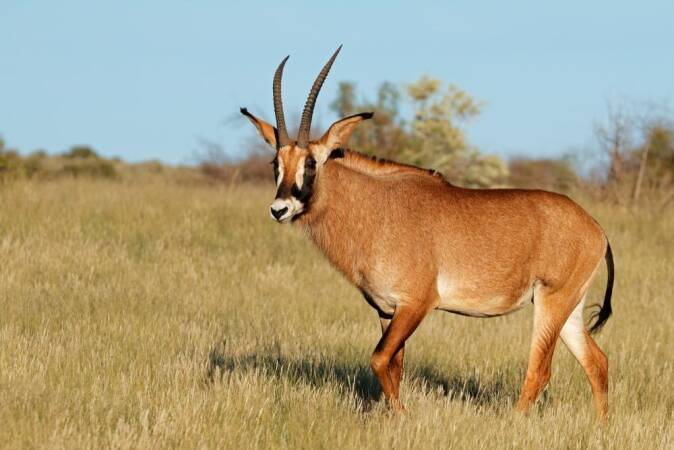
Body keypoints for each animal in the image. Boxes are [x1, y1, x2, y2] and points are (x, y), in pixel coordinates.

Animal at [240, 46, 614, 420]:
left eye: (311, 163)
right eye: (275, 163)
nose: (280, 209)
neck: (377, 208)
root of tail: (596, 229)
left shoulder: (416, 303)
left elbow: (379, 359)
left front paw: (403, 416)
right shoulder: (386, 310)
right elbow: (394, 366)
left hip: (551, 302)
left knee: (540, 371)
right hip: (568, 308)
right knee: (597, 361)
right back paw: (600, 425)